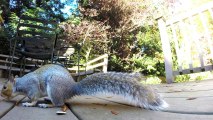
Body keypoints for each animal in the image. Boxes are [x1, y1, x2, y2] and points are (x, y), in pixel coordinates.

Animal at [1, 64, 168, 114]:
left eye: (4, 86)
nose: (1, 96)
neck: (19, 84)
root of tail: (72, 88)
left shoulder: (32, 87)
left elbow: (34, 98)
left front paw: (28, 103)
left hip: (54, 86)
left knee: (59, 104)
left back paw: (46, 104)